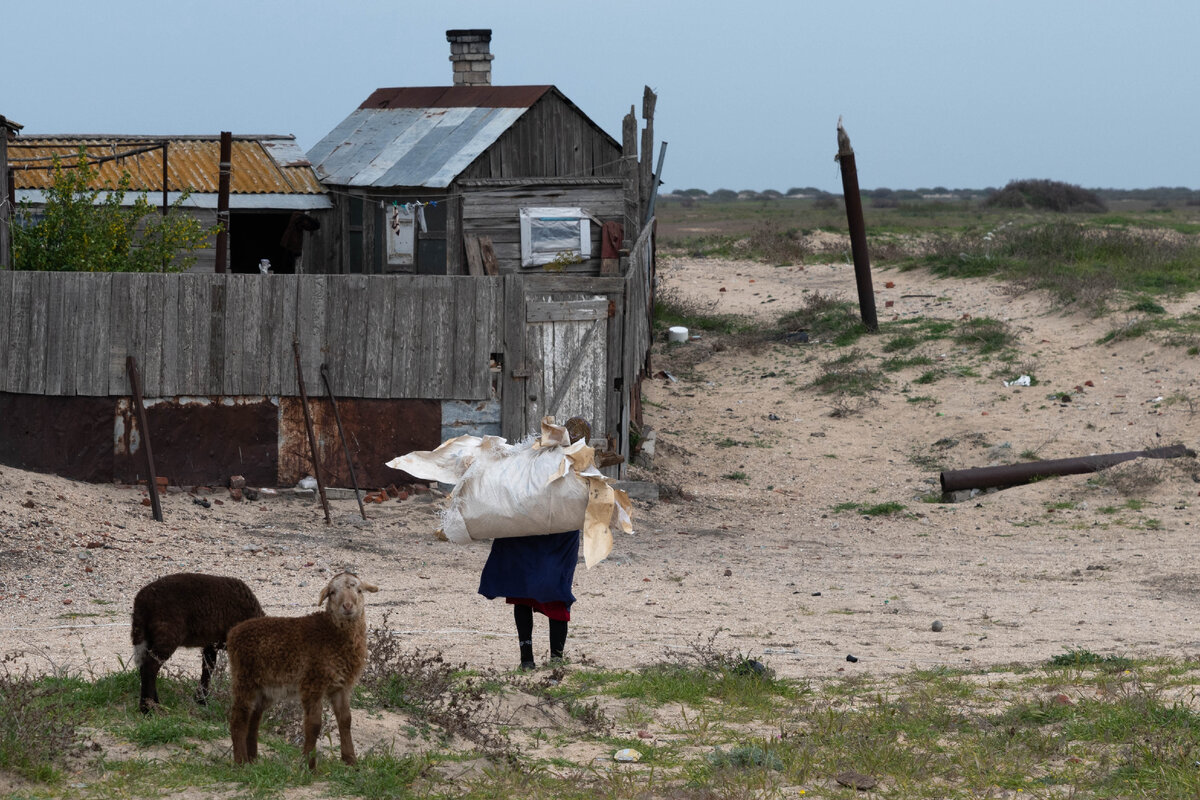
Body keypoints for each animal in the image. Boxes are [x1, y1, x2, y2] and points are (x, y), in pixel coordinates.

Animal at [130, 573, 264, 714]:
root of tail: (141, 601)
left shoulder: (211, 643)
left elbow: (208, 668)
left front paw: (201, 700)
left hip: (149, 636)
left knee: (145, 666)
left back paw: (154, 703)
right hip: (167, 633)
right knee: (149, 667)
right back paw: (148, 708)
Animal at [224, 568, 374, 767]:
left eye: (359, 590)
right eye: (332, 592)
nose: (348, 606)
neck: (332, 632)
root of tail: (233, 633)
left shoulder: (341, 686)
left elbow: (346, 720)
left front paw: (351, 761)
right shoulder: (313, 682)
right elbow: (314, 725)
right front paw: (309, 765)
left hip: (265, 688)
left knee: (254, 719)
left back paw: (253, 760)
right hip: (244, 677)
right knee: (238, 718)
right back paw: (241, 762)